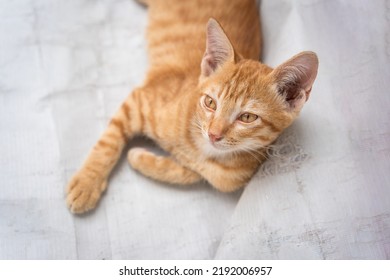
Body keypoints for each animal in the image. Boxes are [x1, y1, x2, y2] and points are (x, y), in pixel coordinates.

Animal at [65, 0, 318, 213]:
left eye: (247, 117)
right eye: (210, 102)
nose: (214, 134)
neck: (203, 149)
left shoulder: (225, 177)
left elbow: (191, 174)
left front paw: (142, 158)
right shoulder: (140, 99)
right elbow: (108, 142)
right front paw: (87, 183)